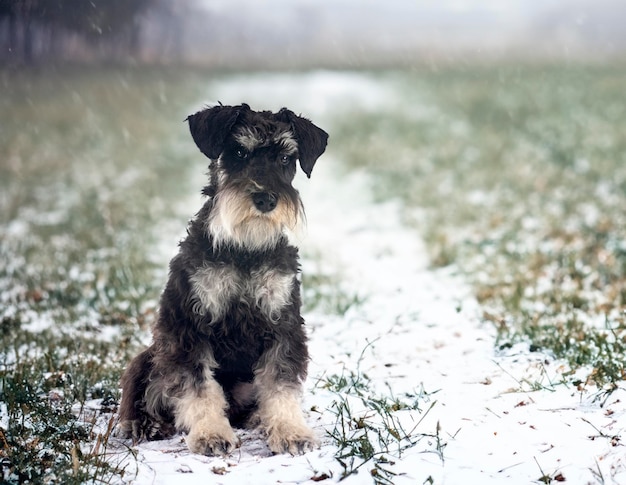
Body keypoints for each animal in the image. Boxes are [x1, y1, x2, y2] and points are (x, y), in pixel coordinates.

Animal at [119, 102, 330, 454]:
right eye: (240, 152)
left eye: (285, 158)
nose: (265, 199)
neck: (245, 250)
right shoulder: (187, 327)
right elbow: (198, 386)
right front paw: (210, 434)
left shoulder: (283, 324)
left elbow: (280, 383)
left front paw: (290, 431)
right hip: (149, 358)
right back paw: (146, 424)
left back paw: (258, 419)